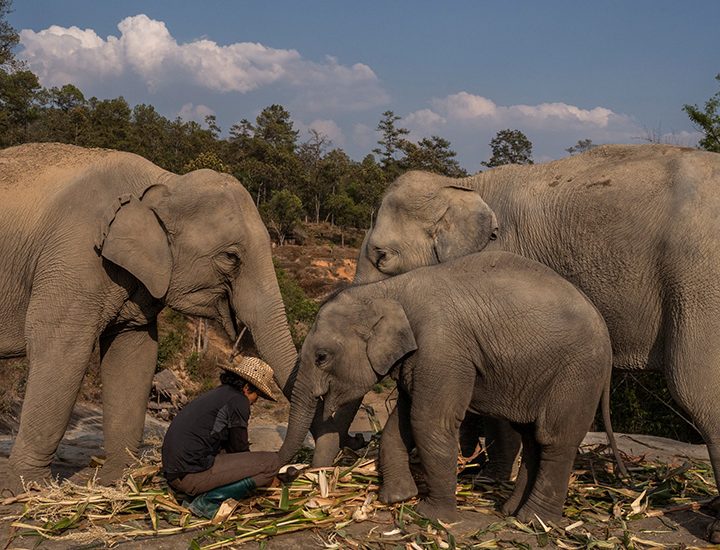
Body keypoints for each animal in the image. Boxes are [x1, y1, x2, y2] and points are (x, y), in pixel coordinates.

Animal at [0, 143, 302, 492]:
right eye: (231, 257)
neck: (164, 181)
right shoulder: (75, 255)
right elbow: (62, 346)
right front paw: (27, 490)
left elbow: (134, 352)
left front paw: (121, 479)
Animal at [278, 252, 616, 524]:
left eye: (321, 357)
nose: (294, 474)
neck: (388, 289)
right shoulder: (417, 359)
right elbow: (401, 423)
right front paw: (398, 498)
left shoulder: (441, 350)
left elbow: (429, 421)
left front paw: (431, 516)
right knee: (532, 437)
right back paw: (511, 512)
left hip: (577, 374)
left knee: (554, 440)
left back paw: (536, 521)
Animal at [352, 143, 720, 544]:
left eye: (382, 256)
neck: (464, 184)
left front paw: (485, 479)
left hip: (698, 284)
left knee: (696, 390)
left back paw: (712, 530)